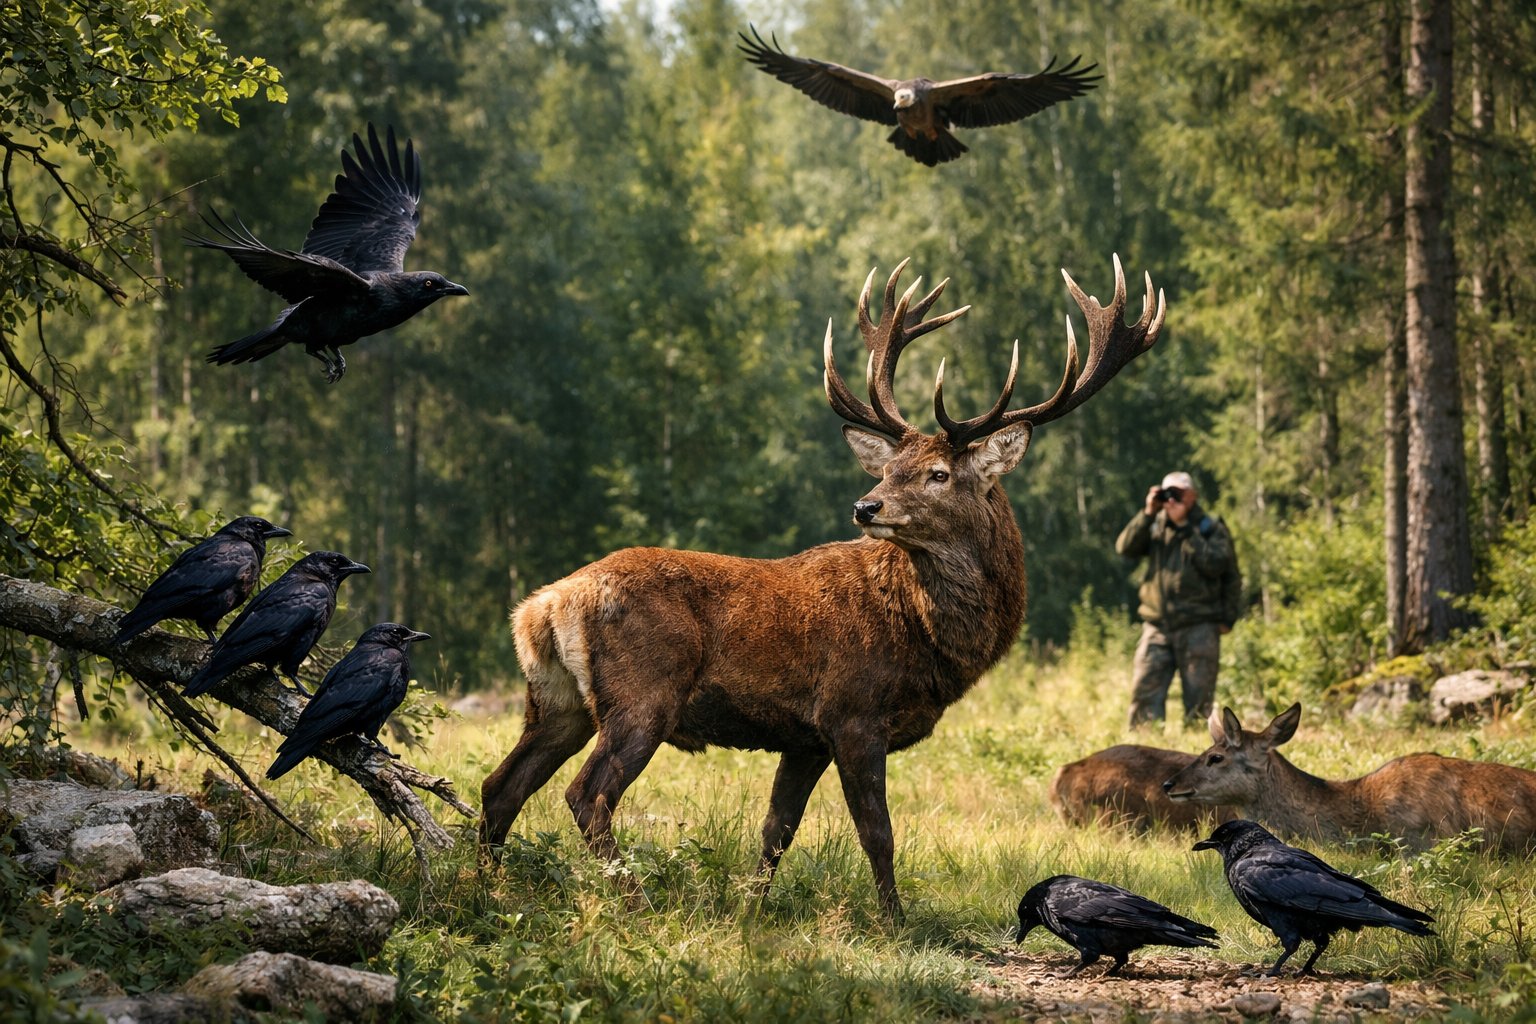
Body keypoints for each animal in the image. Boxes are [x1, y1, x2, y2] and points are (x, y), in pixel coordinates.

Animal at [479, 256, 1165, 917]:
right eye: (889, 467)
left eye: (938, 473)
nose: (866, 505)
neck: (927, 639)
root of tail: (542, 606)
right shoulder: (852, 712)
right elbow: (878, 831)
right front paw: (895, 922)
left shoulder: (803, 736)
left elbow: (777, 829)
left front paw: (750, 912)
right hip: (643, 691)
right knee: (587, 793)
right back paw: (634, 900)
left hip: (557, 702)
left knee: (500, 785)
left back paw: (484, 887)